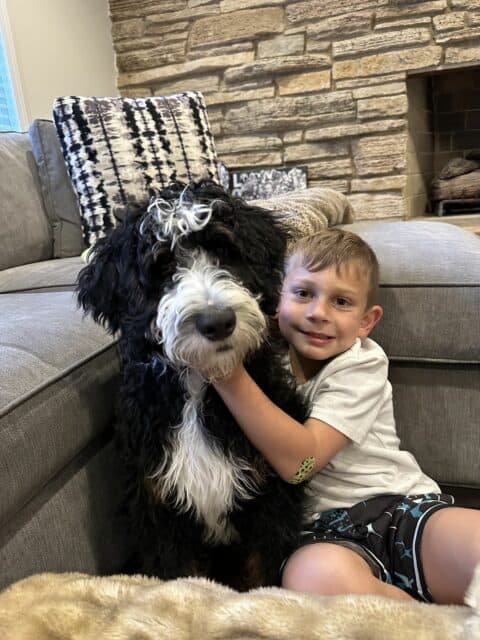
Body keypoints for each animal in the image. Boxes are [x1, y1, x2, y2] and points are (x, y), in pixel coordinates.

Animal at [78, 179, 308, 592]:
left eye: (224, 251)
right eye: (163, 265)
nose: (216, 322)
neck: (201, 388)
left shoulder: (270, 501)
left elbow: (263, 577)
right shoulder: (160, 509)